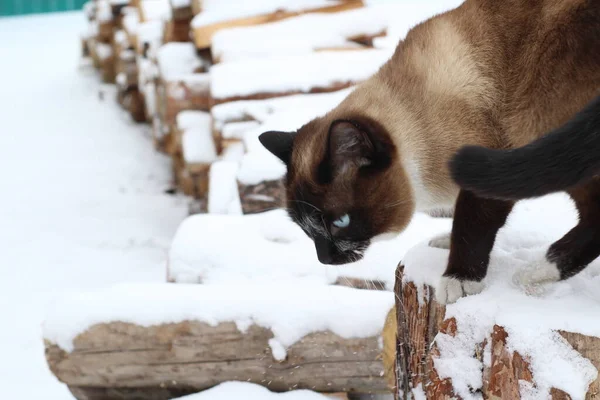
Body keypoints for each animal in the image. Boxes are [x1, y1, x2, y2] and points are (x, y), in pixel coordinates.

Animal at [258, 0, 600, 304]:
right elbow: (460, 225)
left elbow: (471, 226)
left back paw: (535, 272)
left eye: (340, 222)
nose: (325, 259)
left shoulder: (487, 170)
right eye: (306, 229)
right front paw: (444, 243)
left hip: (546, 137)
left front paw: (458, 280)